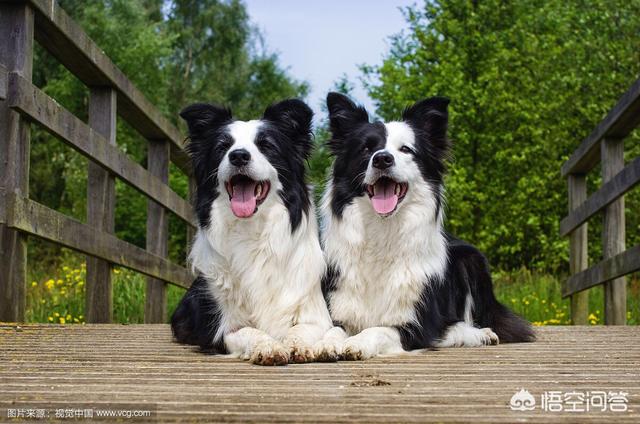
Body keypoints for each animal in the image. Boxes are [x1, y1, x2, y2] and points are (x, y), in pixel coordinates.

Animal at [172, 98, 332, 364]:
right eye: (223, 147)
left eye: (266, 146)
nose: (238, 156)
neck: (252, 231)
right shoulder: (219, 327)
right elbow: (247, 330)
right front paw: (268, 346)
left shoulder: (315, 313)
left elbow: (302, 329)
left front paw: (296, 345)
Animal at [318, 93, 536, 362]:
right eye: (366, 149)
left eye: (405, 149)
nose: (382, 159)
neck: (383, 230)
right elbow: (334, 329)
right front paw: (326, 343)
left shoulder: (418, 323)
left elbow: (381, 329)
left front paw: (358, 342)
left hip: (471, 262)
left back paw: (477, 334)